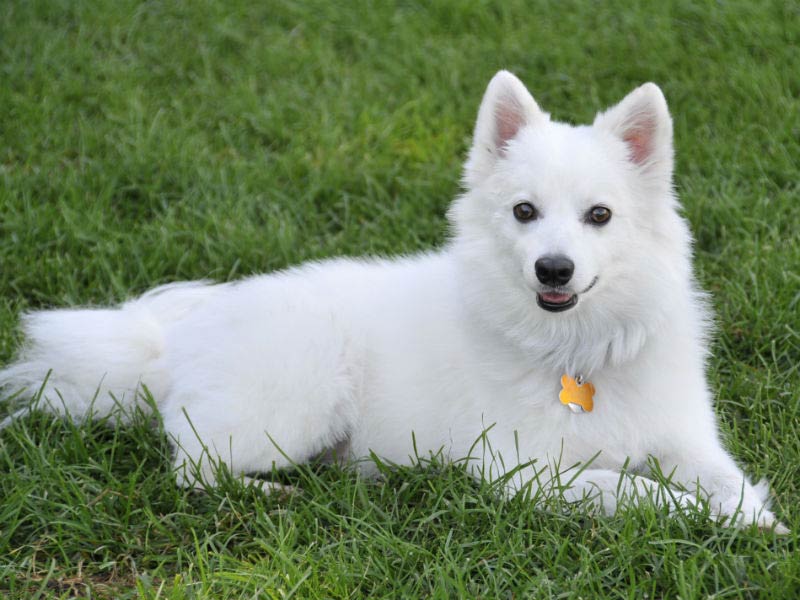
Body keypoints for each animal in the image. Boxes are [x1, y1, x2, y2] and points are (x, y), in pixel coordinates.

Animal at [0, 71, 788, 536]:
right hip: (299, 404)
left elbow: (725, 478)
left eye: (600, 216)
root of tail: (173, 347)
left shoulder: (688, 440)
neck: (578, 353)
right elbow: (632, 491)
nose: (554, 268)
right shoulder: (523, 473)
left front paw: (750, 515)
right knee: (193, 470)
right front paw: (715, 517)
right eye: (525, 211)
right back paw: (270, 495)